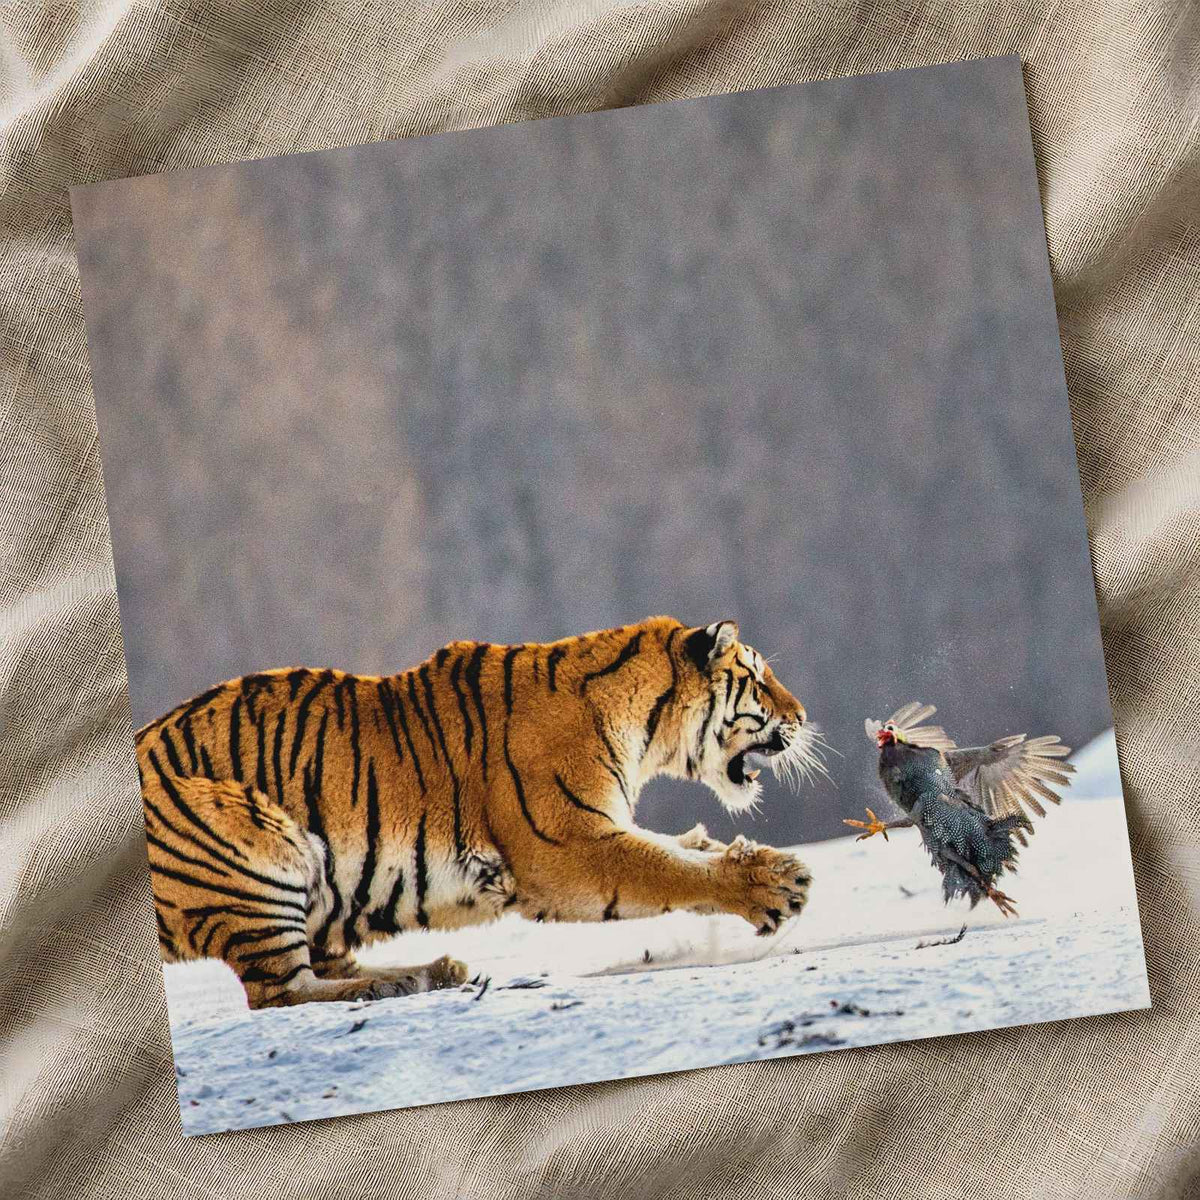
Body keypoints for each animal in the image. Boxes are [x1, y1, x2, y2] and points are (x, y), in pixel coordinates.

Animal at [138, 615, 818, 1008]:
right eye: (760, 680)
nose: (804, 716)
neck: (647, 726)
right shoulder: (569, 847)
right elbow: (668, 868)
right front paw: (775, 885)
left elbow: (681, 849)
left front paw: (753, 859)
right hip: (255, 841)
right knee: (279, 991)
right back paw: (398, 982)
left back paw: (432, 971)